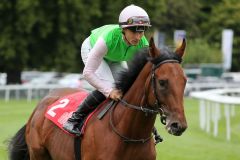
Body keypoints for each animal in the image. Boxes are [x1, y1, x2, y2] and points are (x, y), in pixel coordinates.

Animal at [7, 37, 188, 160]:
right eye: (162, 82)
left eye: (184, 80)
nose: (178, 125)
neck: (129, 135)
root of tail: (40, 106)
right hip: (38, 154)